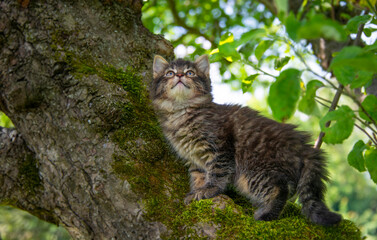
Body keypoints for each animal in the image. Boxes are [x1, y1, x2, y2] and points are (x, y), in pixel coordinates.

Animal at [150, 54, 340, 227]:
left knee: (280, 188)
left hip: (255, 170)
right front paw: (197, 191)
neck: (181, 112)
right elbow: (198, 177)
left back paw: (266, 214)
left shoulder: (219, 148)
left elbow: (217, 172)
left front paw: (210, 190)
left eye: (190, 73)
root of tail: (303, 146)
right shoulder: (193, 158)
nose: (179, 75)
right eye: (169, 73)